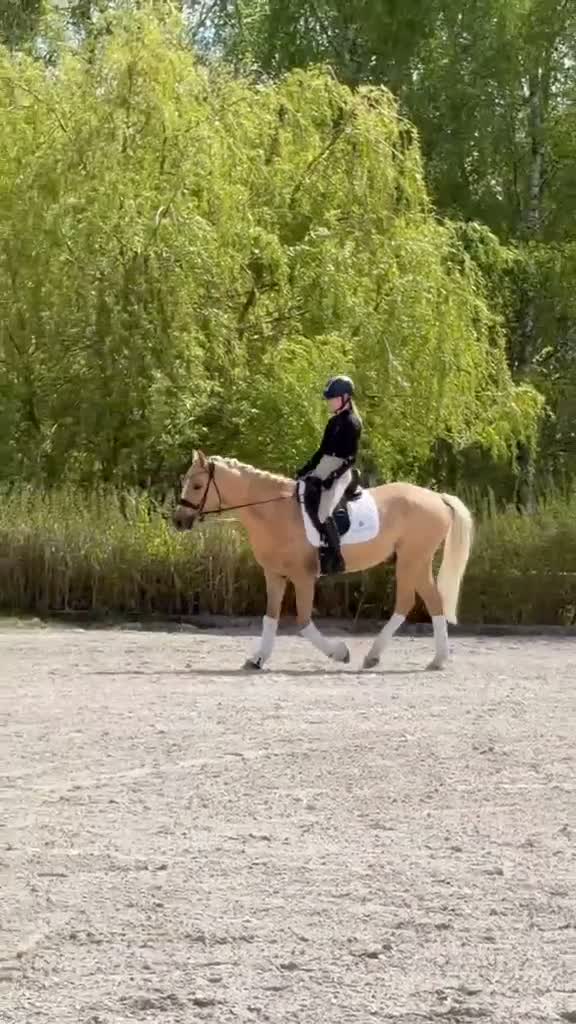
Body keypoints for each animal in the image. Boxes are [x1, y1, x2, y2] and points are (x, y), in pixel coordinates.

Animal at [173, 451, 473, 670]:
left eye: (197, 485)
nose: (178, 521)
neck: (274, 512)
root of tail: (437, 497)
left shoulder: (303, 577)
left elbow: (303, 622)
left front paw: (340, 653)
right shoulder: (274, 574)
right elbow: (270, 617)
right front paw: (257, 659)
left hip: (411, 559)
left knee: (409, 602)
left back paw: (386, 656)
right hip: (416, 561)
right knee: (431, 602)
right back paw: (430, 659)